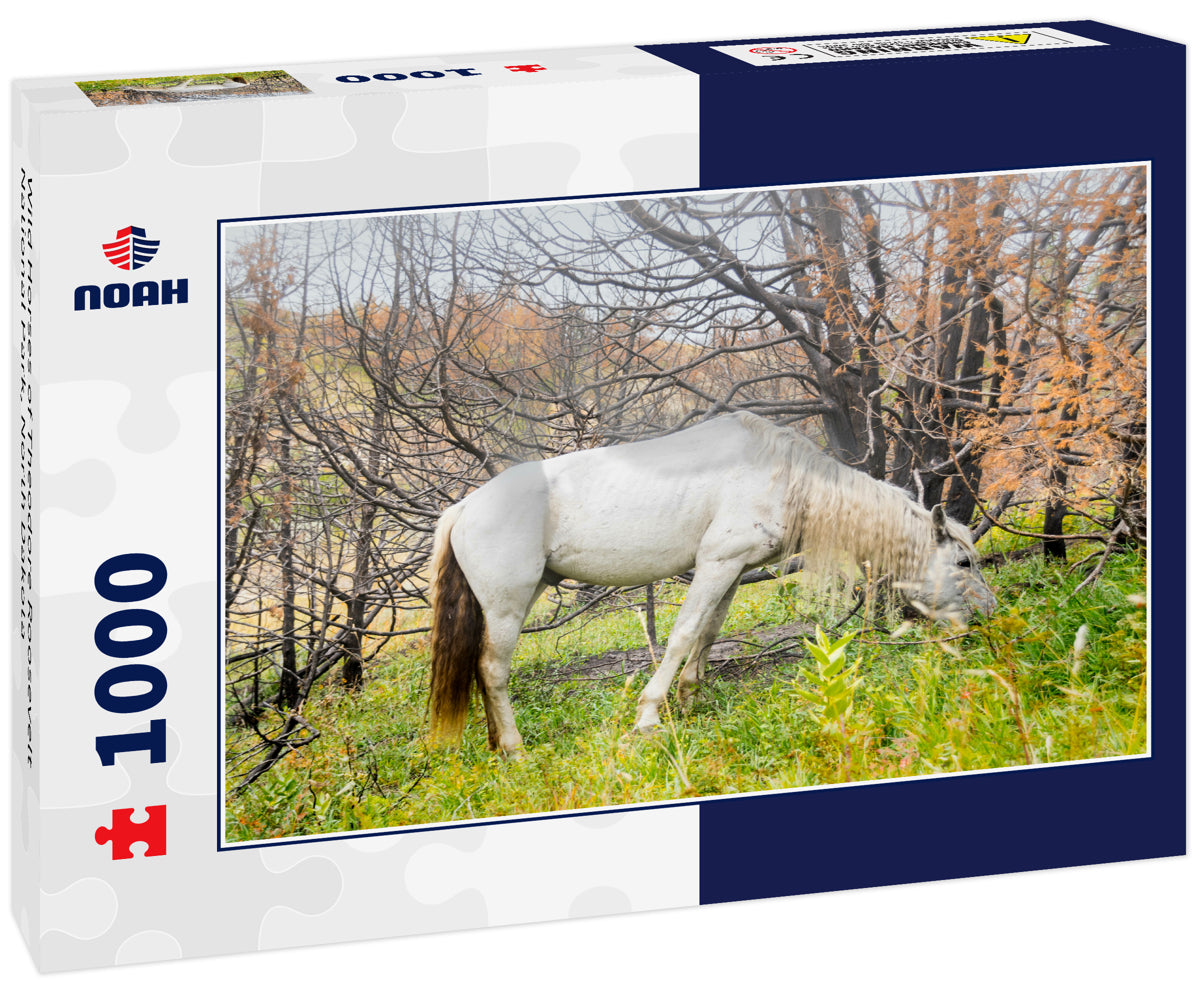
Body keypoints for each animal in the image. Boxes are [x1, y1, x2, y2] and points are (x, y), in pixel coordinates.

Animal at [427, 412, 996, 754]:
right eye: (964, 562)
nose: (989, 615)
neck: (783, 474)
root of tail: (464, 508)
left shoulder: (734, 569)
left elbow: (709, 630)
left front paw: (692, 697)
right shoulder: (717, 562)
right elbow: (682, 635)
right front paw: (650, 716)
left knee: (483, 670)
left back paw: (497, 743)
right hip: (508, 606)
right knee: (492, 669)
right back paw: (515, 747)